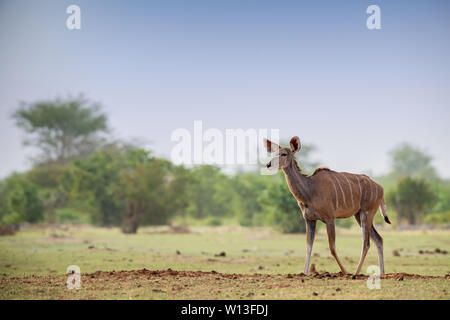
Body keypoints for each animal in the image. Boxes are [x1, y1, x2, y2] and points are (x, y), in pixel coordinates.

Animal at [264, 136, 390, 274]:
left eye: (284, 154)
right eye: (273, 153)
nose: (268, 164)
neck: (310, 189)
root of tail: (381, 188)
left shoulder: (330, 218)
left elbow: (332, 248)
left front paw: (345, 272)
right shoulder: (310, 220)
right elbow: (308, 247)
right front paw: (305, 273)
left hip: (366, 213)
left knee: (366, 243)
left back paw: (356, 273)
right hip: (359, 215)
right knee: (378, 239)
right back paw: (382, 273)